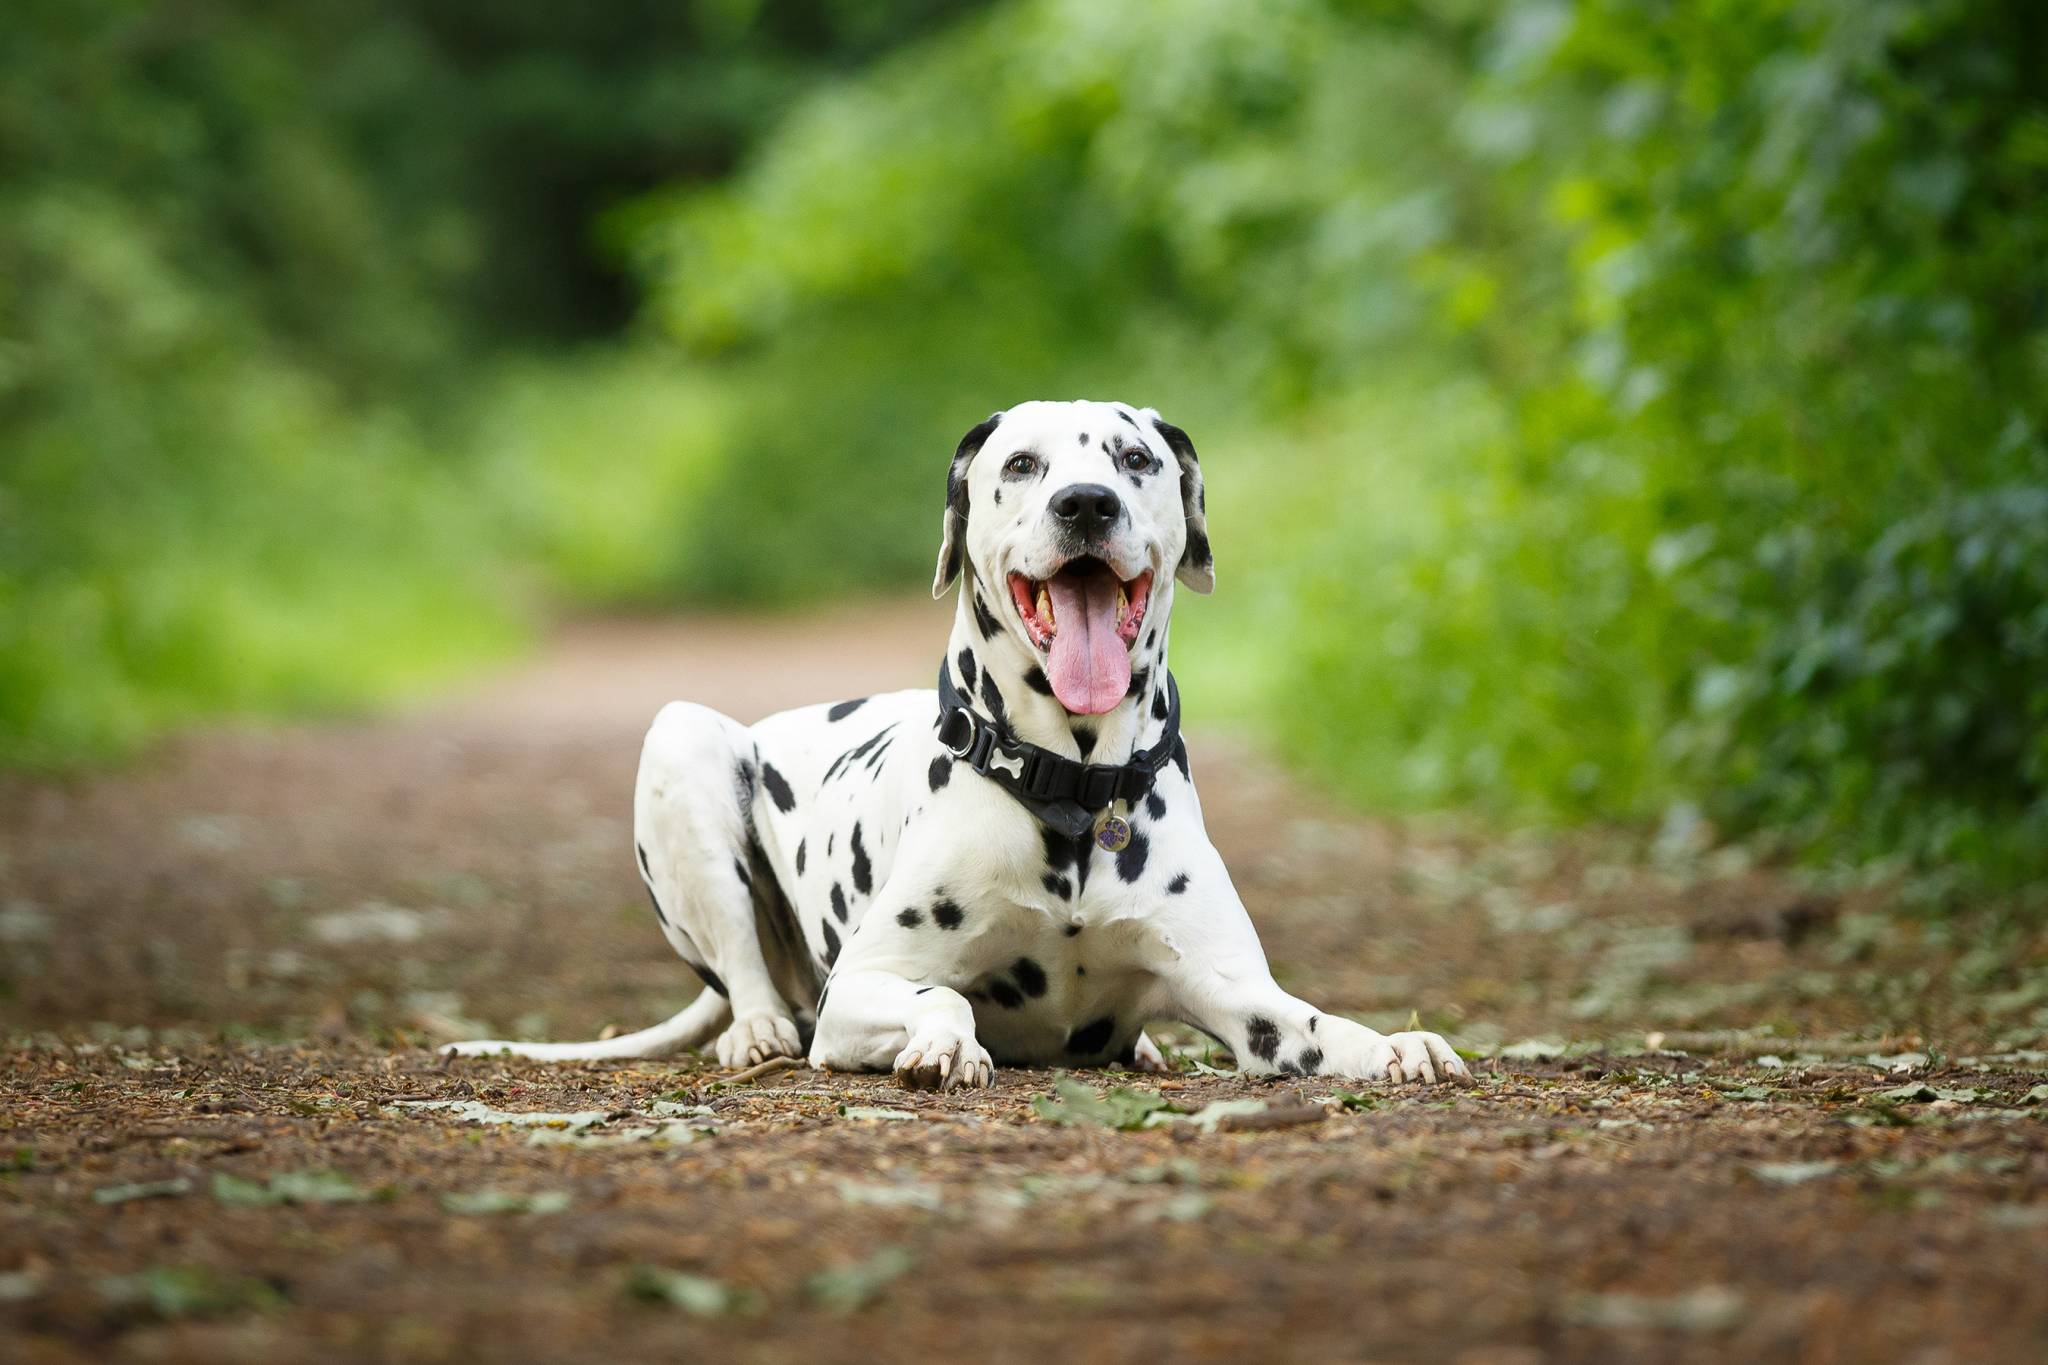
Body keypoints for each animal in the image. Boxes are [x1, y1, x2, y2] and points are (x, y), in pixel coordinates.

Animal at [452, 401, 1474, 1096]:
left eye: (1136, 459)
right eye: (1020, 463)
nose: (1087, 503)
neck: (1074, 789)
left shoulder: (1236, 993)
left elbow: (1314, 1021)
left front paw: (1394, 1041)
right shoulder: (860, 988)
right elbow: (937, 997)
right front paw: (943, 1041)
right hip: (682, 742)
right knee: (744, 974)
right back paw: (755, 1030)